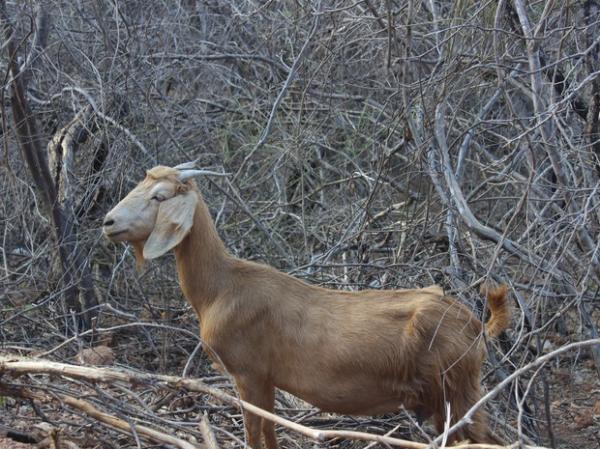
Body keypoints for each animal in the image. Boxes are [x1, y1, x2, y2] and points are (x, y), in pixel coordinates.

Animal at [103, 163, 510, 446]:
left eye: (159, 196)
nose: (108, 221)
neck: (221, 288)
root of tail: (476, 326)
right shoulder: (266, 380)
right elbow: (269, 437)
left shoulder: (247, 374)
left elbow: (254, 437)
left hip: (455, 391)